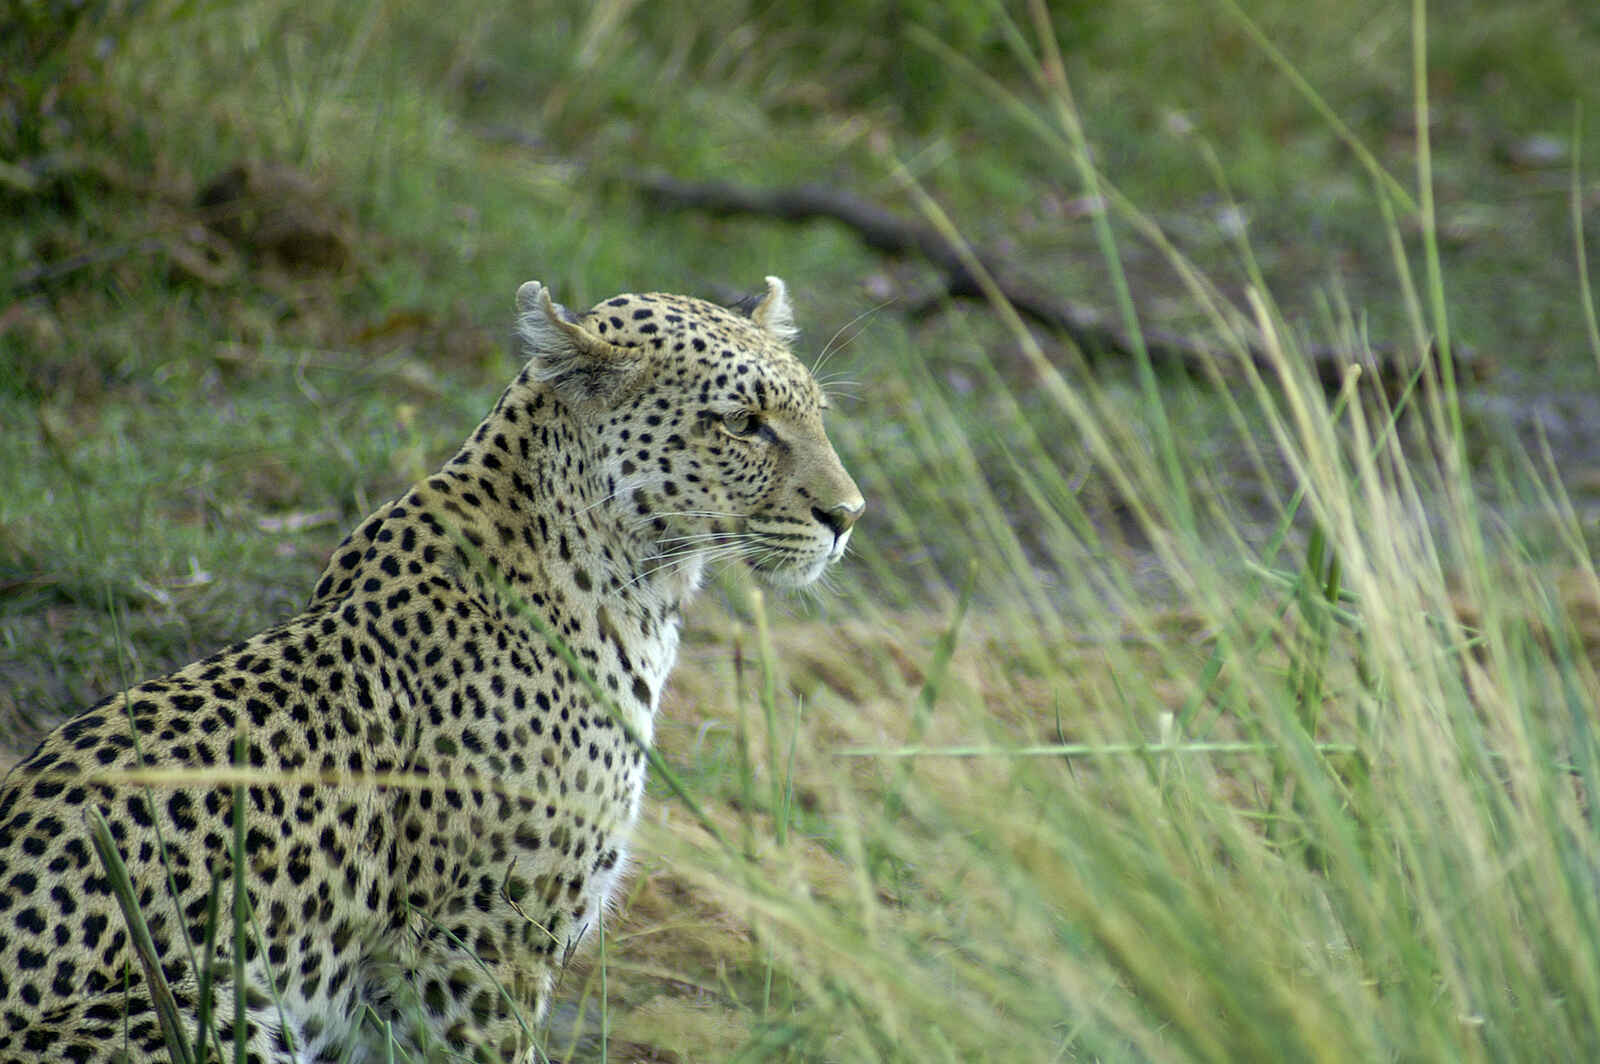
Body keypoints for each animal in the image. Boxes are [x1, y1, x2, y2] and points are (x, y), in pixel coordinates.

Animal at [0, 276, 863, 1063]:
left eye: (815, 413)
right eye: (745, 424)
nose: (848, 515)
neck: (634, 586)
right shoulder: (474, 955)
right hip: (205, 1006)